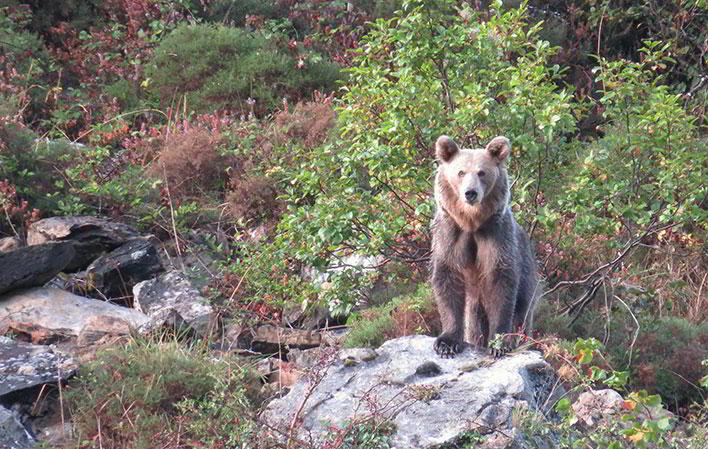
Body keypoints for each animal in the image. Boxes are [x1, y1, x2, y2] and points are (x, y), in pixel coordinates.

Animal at [430, 134, 538, 357]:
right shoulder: (450, 235)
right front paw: (446, 342)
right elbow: (447, 278)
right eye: (460, 172)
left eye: (482, 172)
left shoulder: (496, 236)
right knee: (474, 323)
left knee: (522, 311)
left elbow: (501, 283)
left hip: (527, 273)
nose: (470, 193)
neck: (471, 223)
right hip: (475, 304)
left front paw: (499, 343)